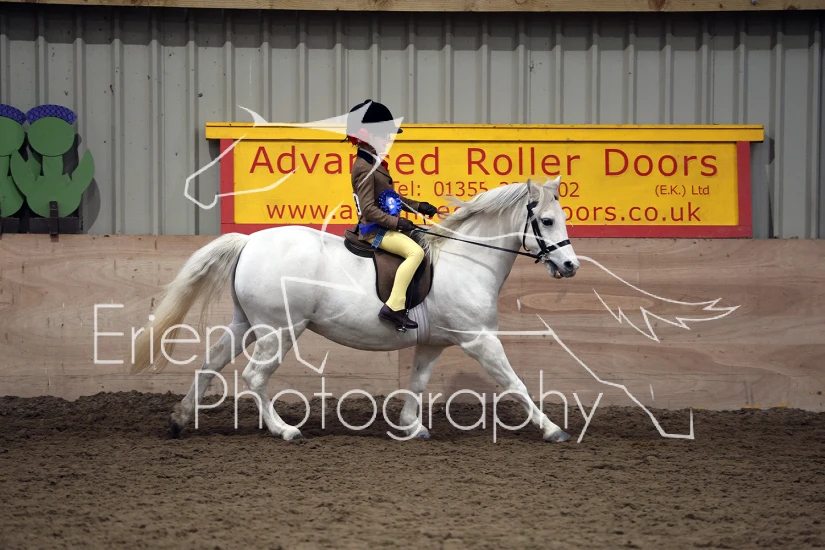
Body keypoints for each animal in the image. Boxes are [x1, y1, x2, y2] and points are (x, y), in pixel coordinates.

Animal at [130, 176, 580, 442]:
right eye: (546, 221)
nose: (570, 266)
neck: (467, 260)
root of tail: (250, 241)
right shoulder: (480, 340)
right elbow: (515, 384)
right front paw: (553, 430)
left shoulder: (433, 343)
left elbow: (417, 382)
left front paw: (411, 426)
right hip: (279, 330)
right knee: (255, 376)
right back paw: (284, 430)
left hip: (247, 324)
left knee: (211, 363)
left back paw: (179, 419)